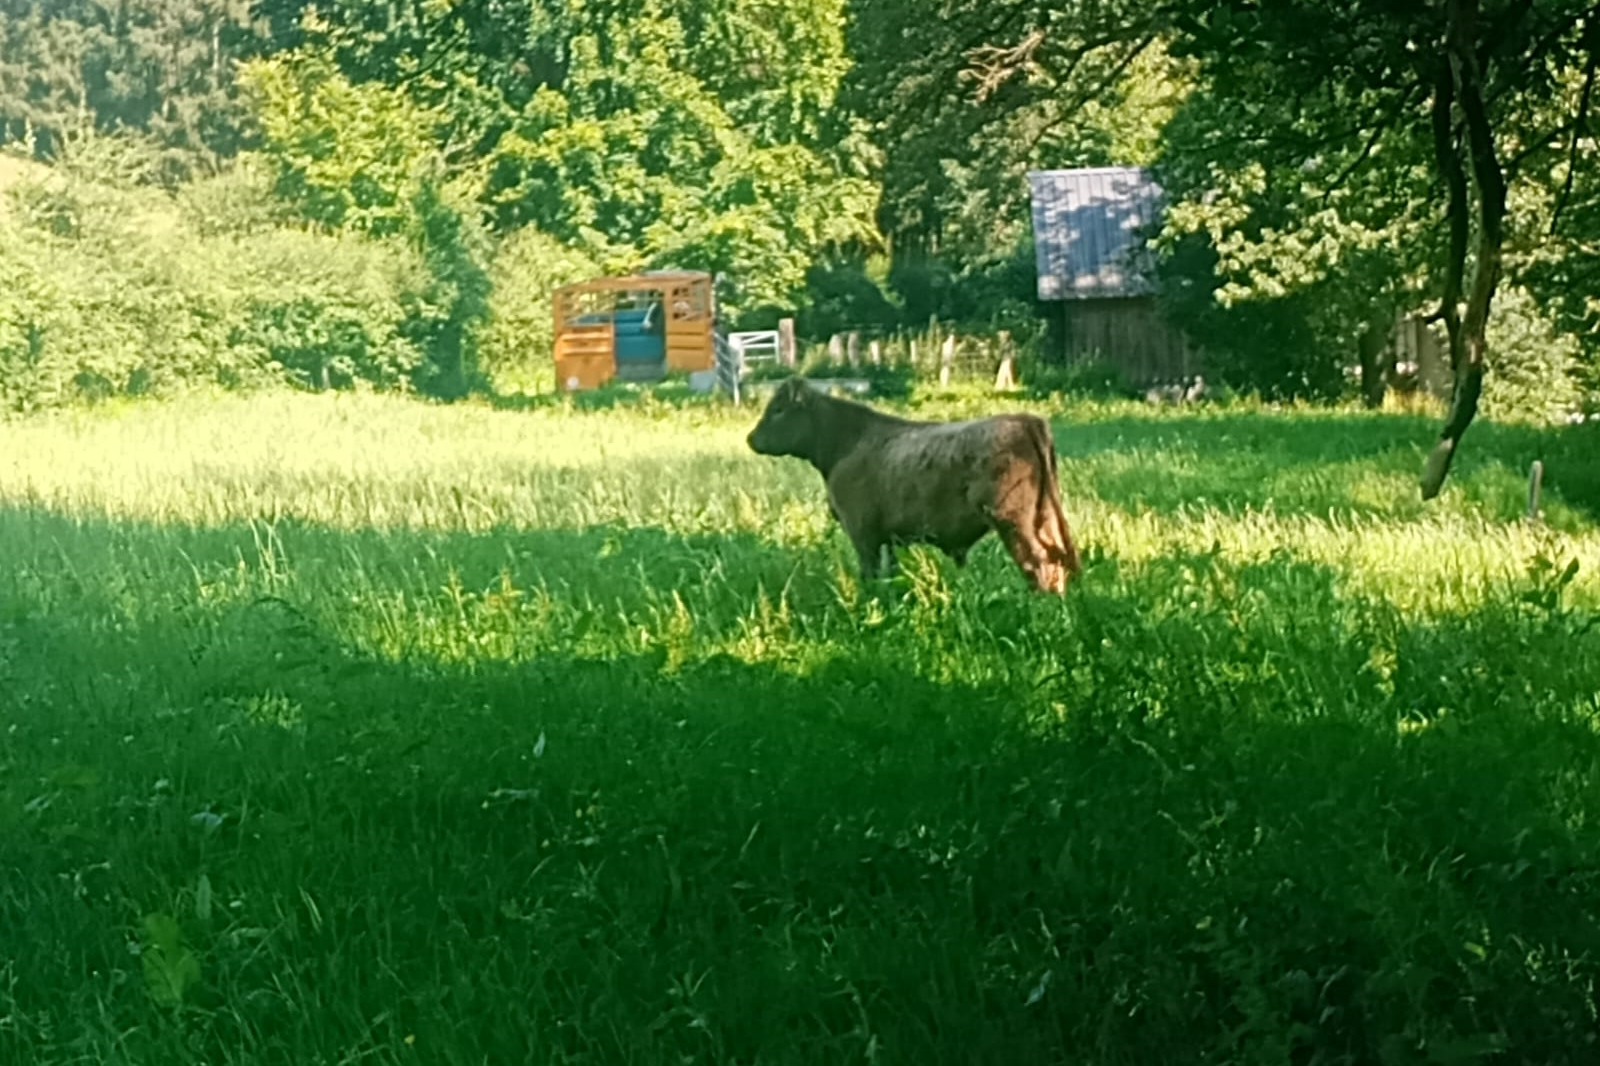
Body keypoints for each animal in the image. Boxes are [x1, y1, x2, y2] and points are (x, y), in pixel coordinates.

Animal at [742, 372, 1081, 589]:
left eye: (778, 410)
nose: (751, 438)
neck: (847, 441)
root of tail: (1023, 420)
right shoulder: (889, 539)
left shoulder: (862, 534)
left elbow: (869, 573)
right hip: (1044, 518)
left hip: (1013, 522)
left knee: (1038, 561)